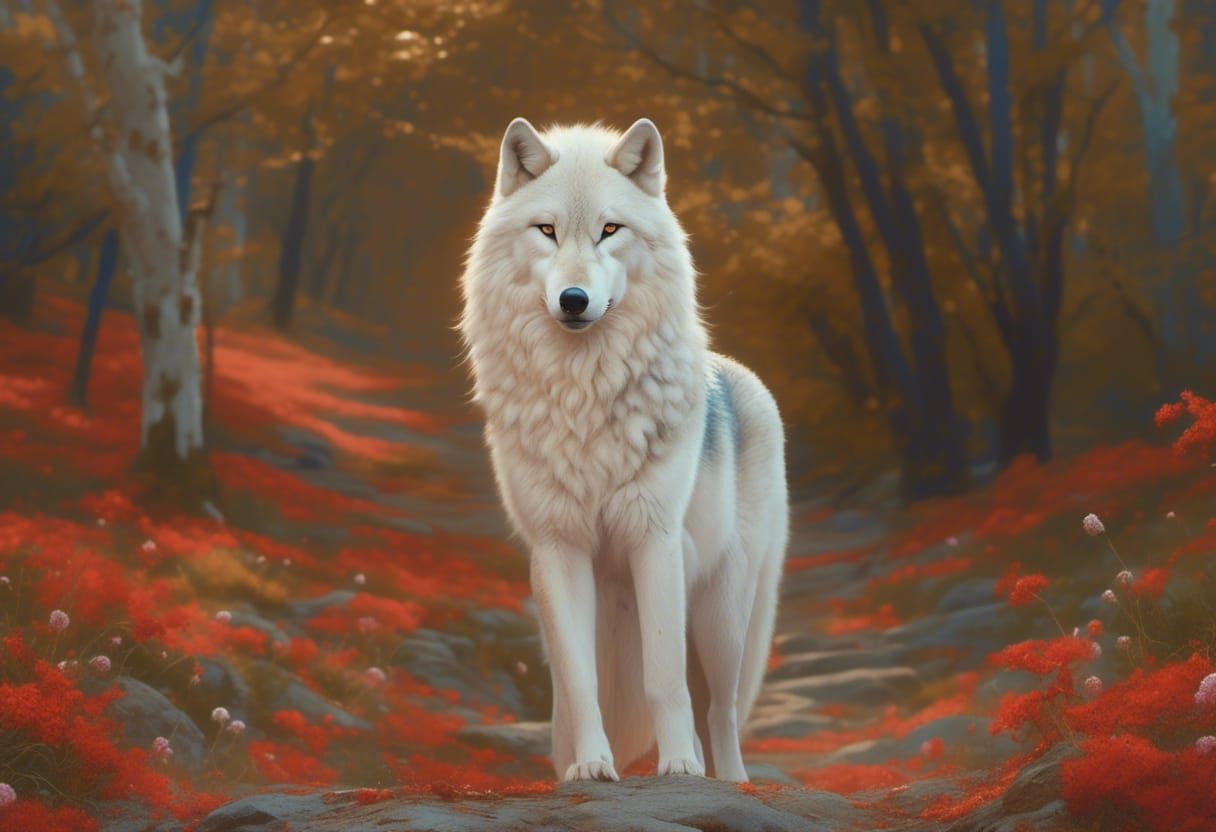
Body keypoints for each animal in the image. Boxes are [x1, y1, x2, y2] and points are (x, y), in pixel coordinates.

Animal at [459, 117, 788, 783]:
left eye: (610, 229)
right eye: (547, 230)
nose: (574, 299)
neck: (583, 394)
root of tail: (742, 377)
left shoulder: (653, 540)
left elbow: (665, 680)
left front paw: (680, 767)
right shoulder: (557, 549)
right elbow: (578, 685)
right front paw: (588, 767)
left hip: (722, 615)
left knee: (720, 709)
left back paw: (729, 780)